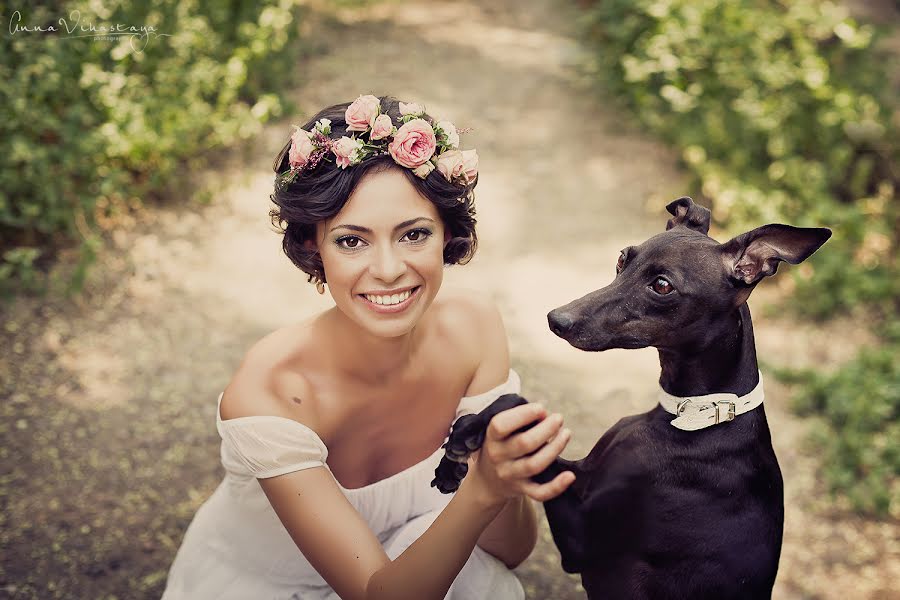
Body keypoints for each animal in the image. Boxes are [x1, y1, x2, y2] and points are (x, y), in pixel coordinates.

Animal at [432, 198, 832, 600]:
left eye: (662, 285)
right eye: (623, 257)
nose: (556, 319)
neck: (697, 419)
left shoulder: (580, 535)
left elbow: (521, 405)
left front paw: (465, 440)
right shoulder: (582, 473)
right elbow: (514, 402)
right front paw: (460, 444)